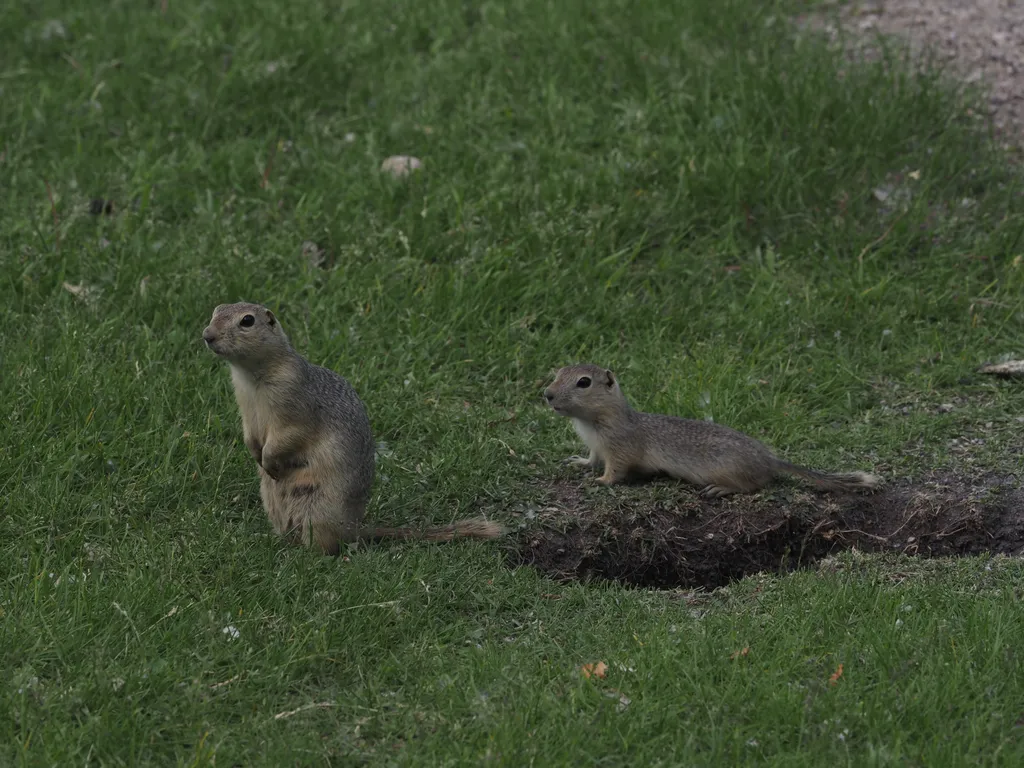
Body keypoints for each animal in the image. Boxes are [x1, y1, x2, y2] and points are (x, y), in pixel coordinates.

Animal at [201, 303, 501, 552]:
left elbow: (288, 435)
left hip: (317, 510)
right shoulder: (245, 405)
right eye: (216, 310)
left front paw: (269, 460)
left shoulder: (294, 404)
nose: (207, 335)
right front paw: (255, 454)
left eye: (247, 321)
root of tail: (354, 529)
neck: (252, 376)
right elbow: (249, 434)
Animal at [540, 364, 884, 499]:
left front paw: (600, 481)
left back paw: (721, 489)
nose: (547, 395)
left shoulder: (620, 448)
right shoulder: (596, 446)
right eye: (558, 372)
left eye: (584, 382)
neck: (592, 422)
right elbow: (591, 458)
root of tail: (770, 459)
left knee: (754, 485)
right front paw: (579, 464)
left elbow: (617, 471)